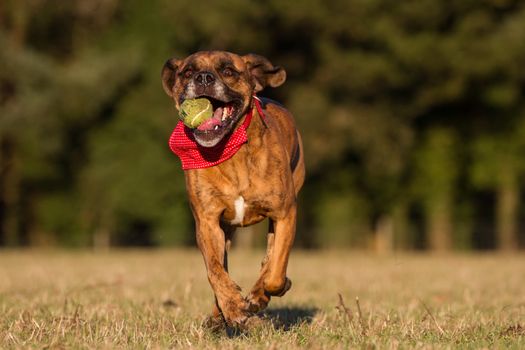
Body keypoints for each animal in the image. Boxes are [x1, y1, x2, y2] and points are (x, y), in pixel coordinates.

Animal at [162, 52, 304, 328]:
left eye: (228, 71)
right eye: (187, 72)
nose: (203, 78)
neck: (229, 151)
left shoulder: (285, 213)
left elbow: (276, 271)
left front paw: (265, 293)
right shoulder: (208, 222)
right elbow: (215, 270)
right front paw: (233, 306)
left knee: (271, 255)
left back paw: (259, 294)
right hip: (225, 230)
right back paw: (220, 315)